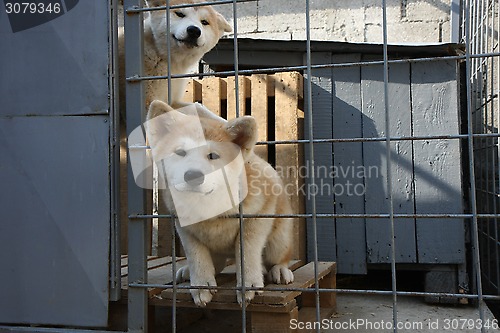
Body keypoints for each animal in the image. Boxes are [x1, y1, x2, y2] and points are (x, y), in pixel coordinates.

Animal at [145, 100, 292, 306]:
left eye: (213, 156)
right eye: (180, 152)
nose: (193, 175)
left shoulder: (257, 216)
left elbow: (247, 252)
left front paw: (248, 283)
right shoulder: (185, 228)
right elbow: (197, 257)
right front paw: (201, 284)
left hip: (278, 240)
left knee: (279, 255)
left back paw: (280, 269)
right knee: (218, 263)